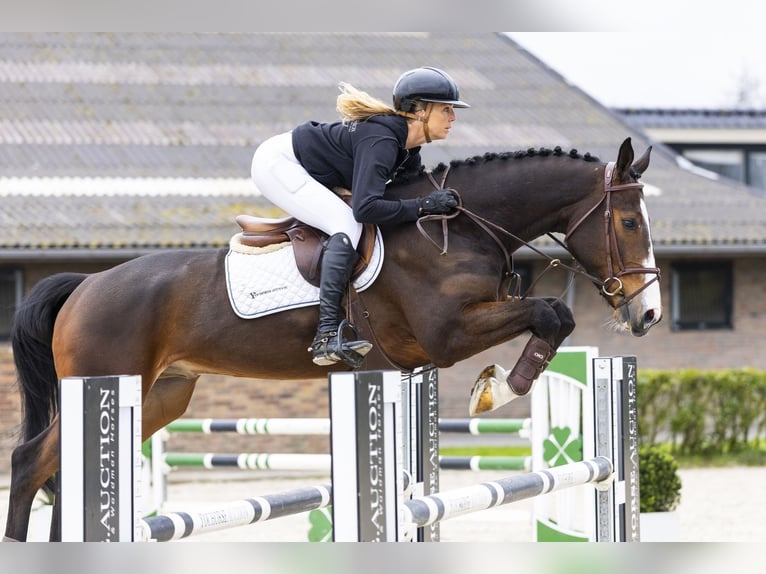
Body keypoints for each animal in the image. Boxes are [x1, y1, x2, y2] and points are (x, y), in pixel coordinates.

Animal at [3, 137, 662, 541]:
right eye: (629, 222)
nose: (649, 313)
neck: (457, 227)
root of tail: (87, 284)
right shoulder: (448, 335)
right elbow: (552, 313)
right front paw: (495, 389)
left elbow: (554, 316)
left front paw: (494, 385)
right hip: (107, 382)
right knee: (31, 460)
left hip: (159, 395)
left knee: (62, 471)